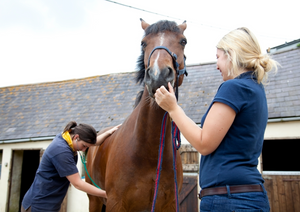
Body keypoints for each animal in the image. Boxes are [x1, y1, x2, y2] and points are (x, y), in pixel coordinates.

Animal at [85, 19, 186, 211]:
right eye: (143, 43)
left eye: (183, 41)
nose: (158, 76)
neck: (149, 153)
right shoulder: (116, 203)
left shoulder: (169, 204)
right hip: (94, 200)